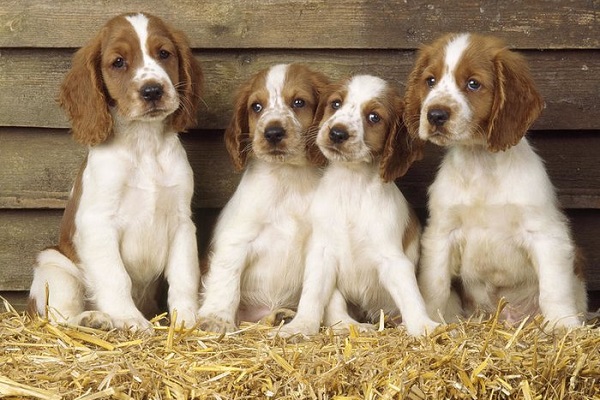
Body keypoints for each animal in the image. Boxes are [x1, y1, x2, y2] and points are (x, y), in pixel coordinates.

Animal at [28, 13, 204, 332]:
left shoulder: (182, 223)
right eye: (118, 62)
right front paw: (129, 319)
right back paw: (94, 319)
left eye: (164, 54)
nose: (152, 90)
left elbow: (184, 276)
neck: (143, 144)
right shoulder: (98, 224)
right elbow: (116, 277)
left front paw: (187, 320)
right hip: (54, 266)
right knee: (60, 319)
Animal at [197, 63, 328, 332]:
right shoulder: (236, 239)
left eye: (299, 102)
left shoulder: (318, 246)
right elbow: (226, 280)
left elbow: (313, 289)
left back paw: (283, 315)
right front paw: (216, 319)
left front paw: (303, 325)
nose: (273, 132)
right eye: (256, 106)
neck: (287, 176)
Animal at [276, 75, 436, 338]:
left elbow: (410, 296)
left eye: (374, 117)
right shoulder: (322, 254)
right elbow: (312, 295)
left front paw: (425, 326)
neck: (352, 184)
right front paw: (300, 326)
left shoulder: (393, 259)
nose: (337, 133)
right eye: (336, 104)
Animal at [404, 32, 584, 328]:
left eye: (473, 84)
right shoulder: (442, 232)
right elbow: (435, 284)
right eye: (430, 80)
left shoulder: (546, 233)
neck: (481, 163)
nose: (435, 115)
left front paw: (564, 326)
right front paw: (431, 318)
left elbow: (554, 288)